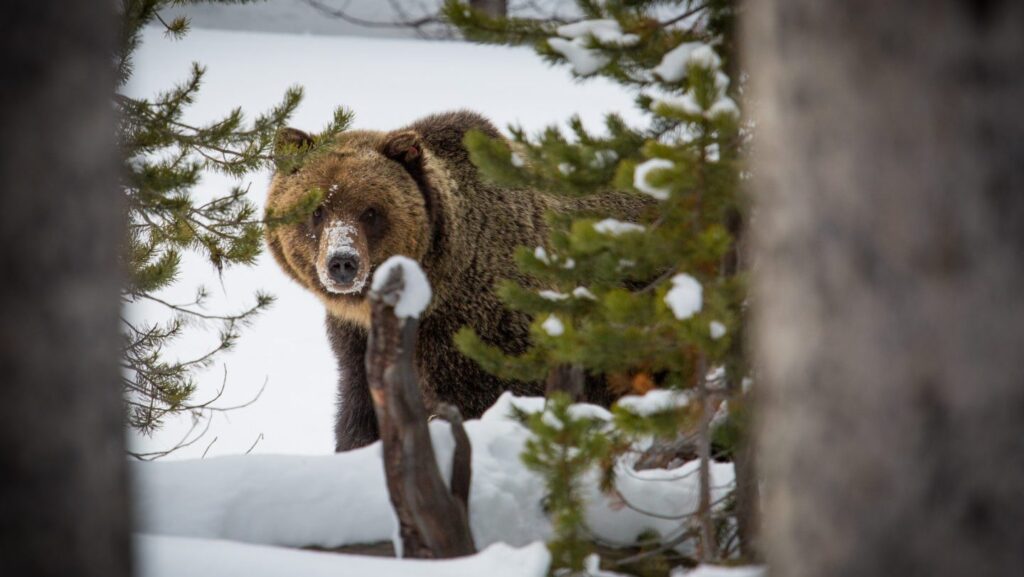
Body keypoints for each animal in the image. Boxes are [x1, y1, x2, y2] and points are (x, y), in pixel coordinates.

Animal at [265, 111, 650, 451]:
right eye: (316, 210)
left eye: (371, 211)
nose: (342, 262)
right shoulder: (356, 342)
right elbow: (360, 415)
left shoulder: (480, 333)